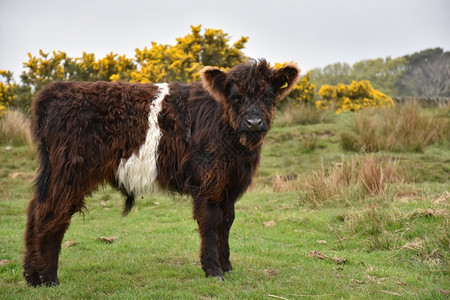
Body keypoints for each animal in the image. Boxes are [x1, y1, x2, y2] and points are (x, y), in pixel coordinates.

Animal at [24, 58, 298, 286]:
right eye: (235, 96)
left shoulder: (229, 185)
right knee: (51, 214)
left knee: (35, 210)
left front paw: (227, 266)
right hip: (70, 172)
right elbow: (211, 222)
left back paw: (31, 276)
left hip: (55, 172)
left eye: (268, 95)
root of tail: (56, 90)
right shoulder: (208, 183)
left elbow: (227, 221)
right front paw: (214, 271)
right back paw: (49, 279)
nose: (254, 122)